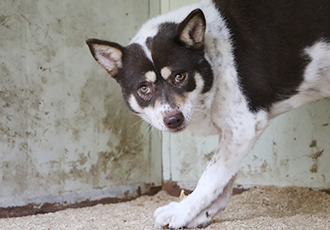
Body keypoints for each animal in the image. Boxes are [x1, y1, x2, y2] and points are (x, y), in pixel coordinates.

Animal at [85, 0, 330, 228]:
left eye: (179, 76)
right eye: (144, 88)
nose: (173, 120)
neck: (210, 56)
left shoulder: (244, 127)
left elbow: (209, 178)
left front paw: (182, 212)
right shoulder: (233, 134)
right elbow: (222, 182)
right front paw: (200, 215)